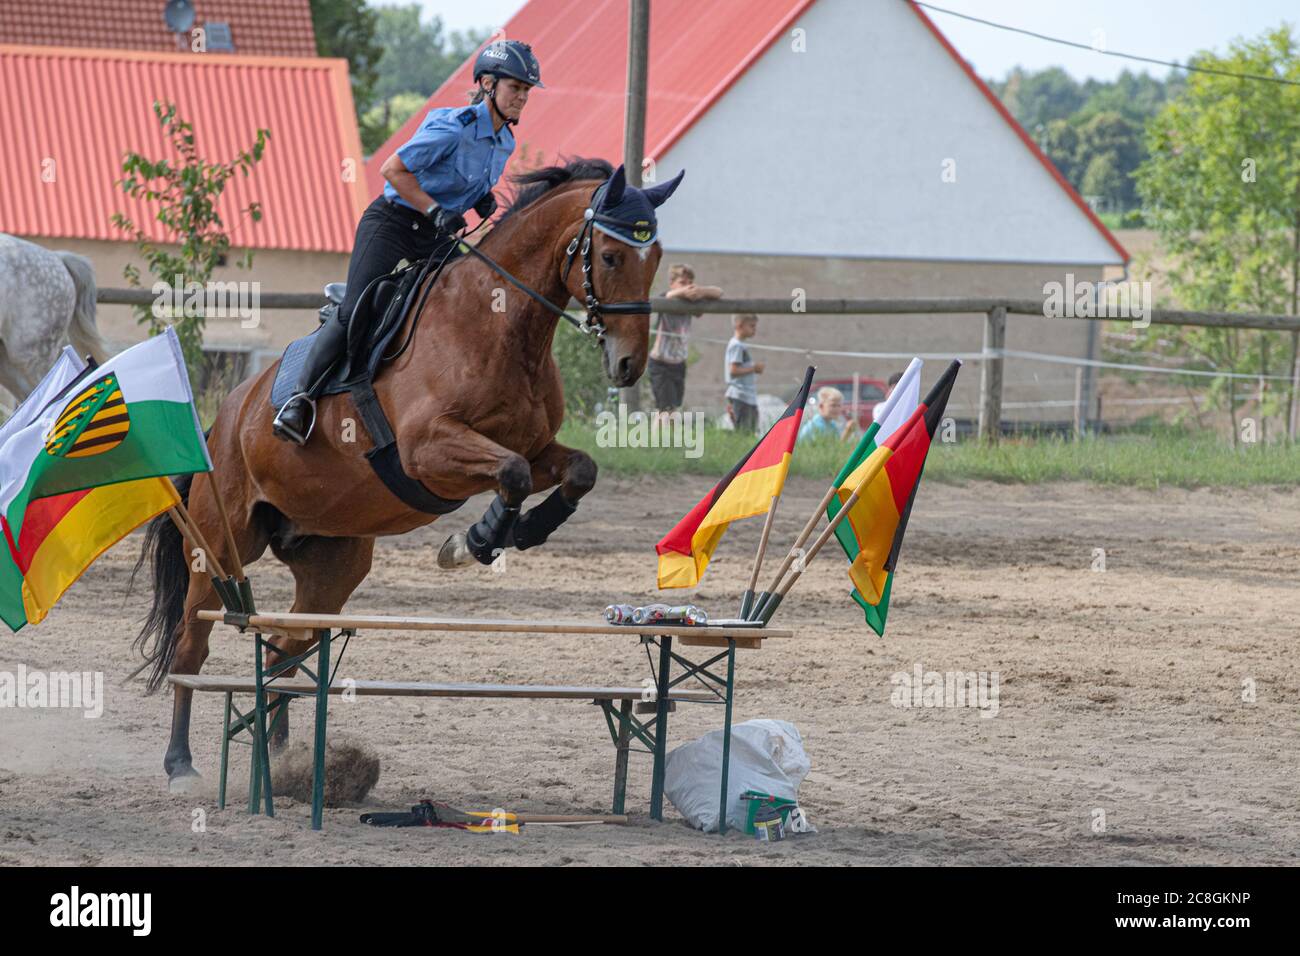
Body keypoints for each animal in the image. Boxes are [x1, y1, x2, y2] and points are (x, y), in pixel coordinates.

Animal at [135, 158, 686, 785]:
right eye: (613, 256)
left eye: (656, 256)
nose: (628, 364)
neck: (498, 325)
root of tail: (221, 419)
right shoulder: (428, 452)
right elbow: (513, 474)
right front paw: (473, 541)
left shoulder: (535, 447)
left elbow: (577, 471)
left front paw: (518, 531)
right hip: (221, 545)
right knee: (193, 644)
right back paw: (181, 763)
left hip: (331, 568)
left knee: (282, 647)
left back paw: (280, 757)